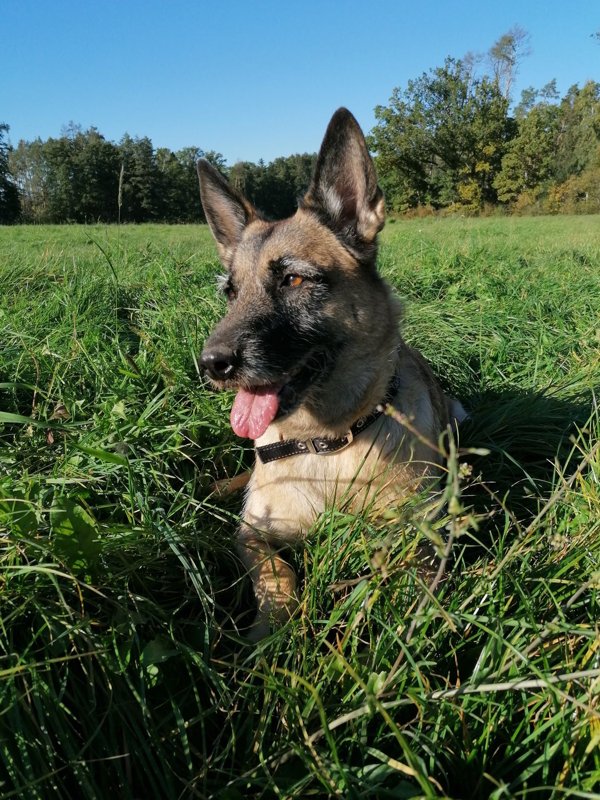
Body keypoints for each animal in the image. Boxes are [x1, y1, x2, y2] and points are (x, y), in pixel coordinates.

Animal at [199, 109, 466, 640]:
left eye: (294, 279)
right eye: (230, 292)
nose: (211, 364)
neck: (327, 443)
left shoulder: (419, 536)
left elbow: (410, 581)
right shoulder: (253, 534)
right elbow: (277, 573)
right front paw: (271, 633)